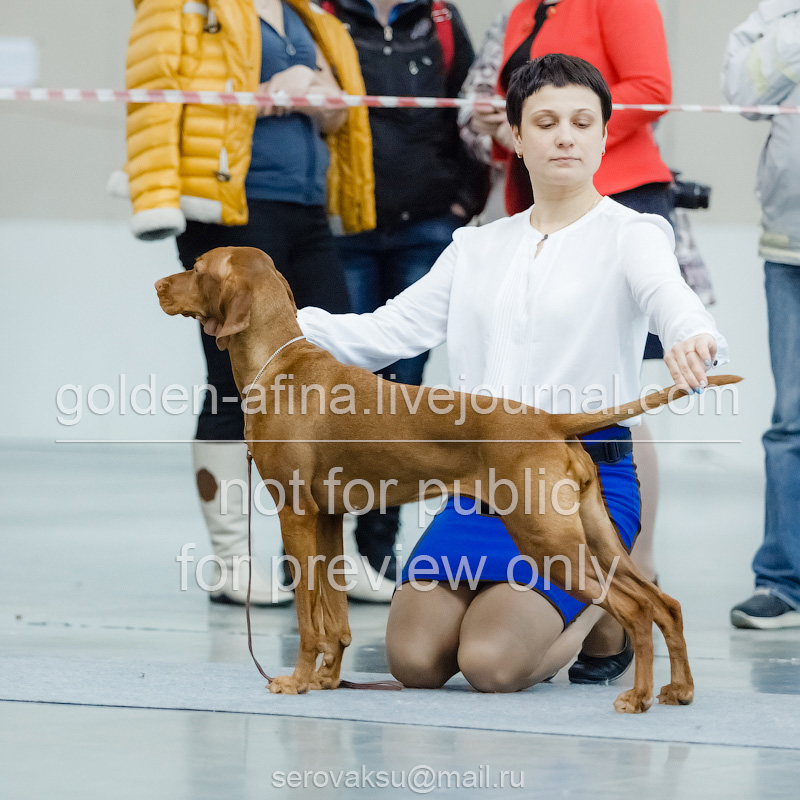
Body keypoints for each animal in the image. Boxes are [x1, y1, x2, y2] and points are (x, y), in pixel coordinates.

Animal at [156, 244, 744, 712]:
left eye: (197, 267)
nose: (158, 285)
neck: (280, 368)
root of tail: (552, 421)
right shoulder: (329, 517)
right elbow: (336, 618)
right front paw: (327, 681)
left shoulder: (295, 514)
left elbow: (307, 617)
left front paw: (297, 681)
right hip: (595, 536)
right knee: (664, 604)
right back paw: (679, 691)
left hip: (548, 540)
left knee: (636, 609)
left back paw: (638, 697)